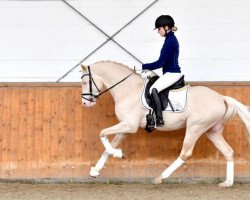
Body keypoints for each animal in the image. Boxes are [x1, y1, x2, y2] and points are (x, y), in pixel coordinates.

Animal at [80, 60, 250, 188]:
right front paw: (96, 170)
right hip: (212, 131)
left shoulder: (129, 126)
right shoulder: (126, 127)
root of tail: (221, 98)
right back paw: (227, 183)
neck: (128, 90)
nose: (85, 103)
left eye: (84, 81)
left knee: (185, 153)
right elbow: (109, 145)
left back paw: (160, 177)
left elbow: (102, 133)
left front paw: (118, 154)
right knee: (228, 152)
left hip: (195, 127)